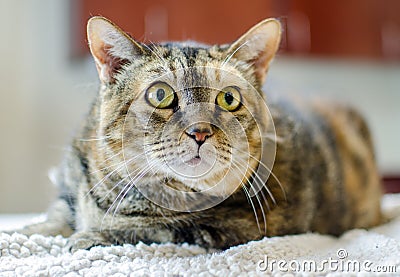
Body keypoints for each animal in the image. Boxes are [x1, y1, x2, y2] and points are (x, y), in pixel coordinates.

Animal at [8, 16, 382, 251]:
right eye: (160, 94)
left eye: (228, 99)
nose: (199, 132)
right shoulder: (70, 187)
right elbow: (54, 216)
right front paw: (23, 231)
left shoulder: (235, 226)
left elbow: (155, 228)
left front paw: (91, 235)